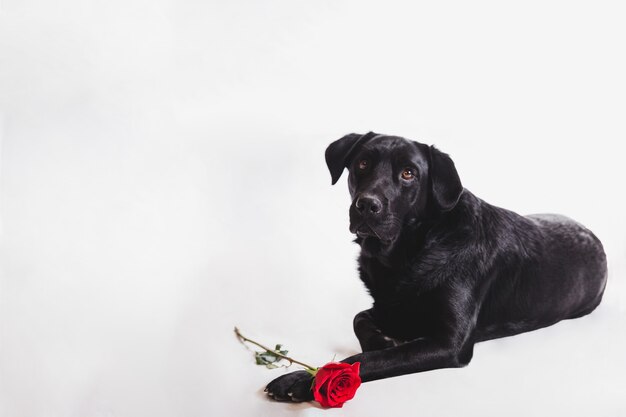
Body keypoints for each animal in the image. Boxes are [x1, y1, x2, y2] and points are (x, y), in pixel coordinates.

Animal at [264, 132, 604, 400]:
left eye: (409, 173)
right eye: (362, 164)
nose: (367, 204)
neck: (408, 252)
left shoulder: (449, 343)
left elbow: (365, 360)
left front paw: (302, 380)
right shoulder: (388, 306)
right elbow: (359, 318)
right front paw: (382, 339)